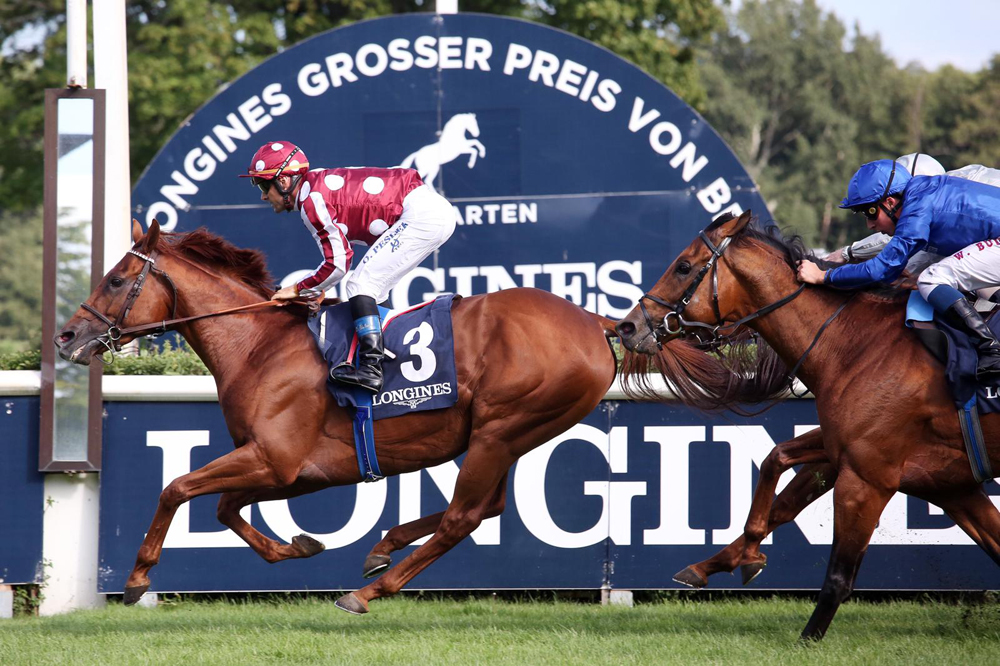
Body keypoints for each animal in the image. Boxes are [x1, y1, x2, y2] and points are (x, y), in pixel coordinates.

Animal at [58, 222, 616, 612]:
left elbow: (176, 487)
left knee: (464, 516)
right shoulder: (295, 471)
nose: (67, 336)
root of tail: (591, 320)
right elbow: (224, 509)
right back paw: (382, 548)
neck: (258, 345)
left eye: (116, 280)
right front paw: (301, 545)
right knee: (487, 507)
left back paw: (367, 592)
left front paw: (137, 578)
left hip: (501, 431)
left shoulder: (274, 457)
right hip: (504, 437)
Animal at [612, 213, 1000, 640]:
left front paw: (807, 638)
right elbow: (777, 467)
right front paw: (730, 559)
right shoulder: (939, 482)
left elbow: (838, 576)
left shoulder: (867, 477)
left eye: (683, 266)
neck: (854, 342)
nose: (627, 328)